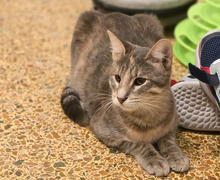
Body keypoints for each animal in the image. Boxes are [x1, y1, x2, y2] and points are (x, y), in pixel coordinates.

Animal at [61, 10, 190, 176]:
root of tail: (108, 13)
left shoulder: (173, 123)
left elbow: (168, 140)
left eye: (140, 81)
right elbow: (137, 144)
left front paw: (175, 155)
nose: (120, 98)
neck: (148, 115)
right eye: (117, 78)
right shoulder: (103, 129)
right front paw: (155, 159)